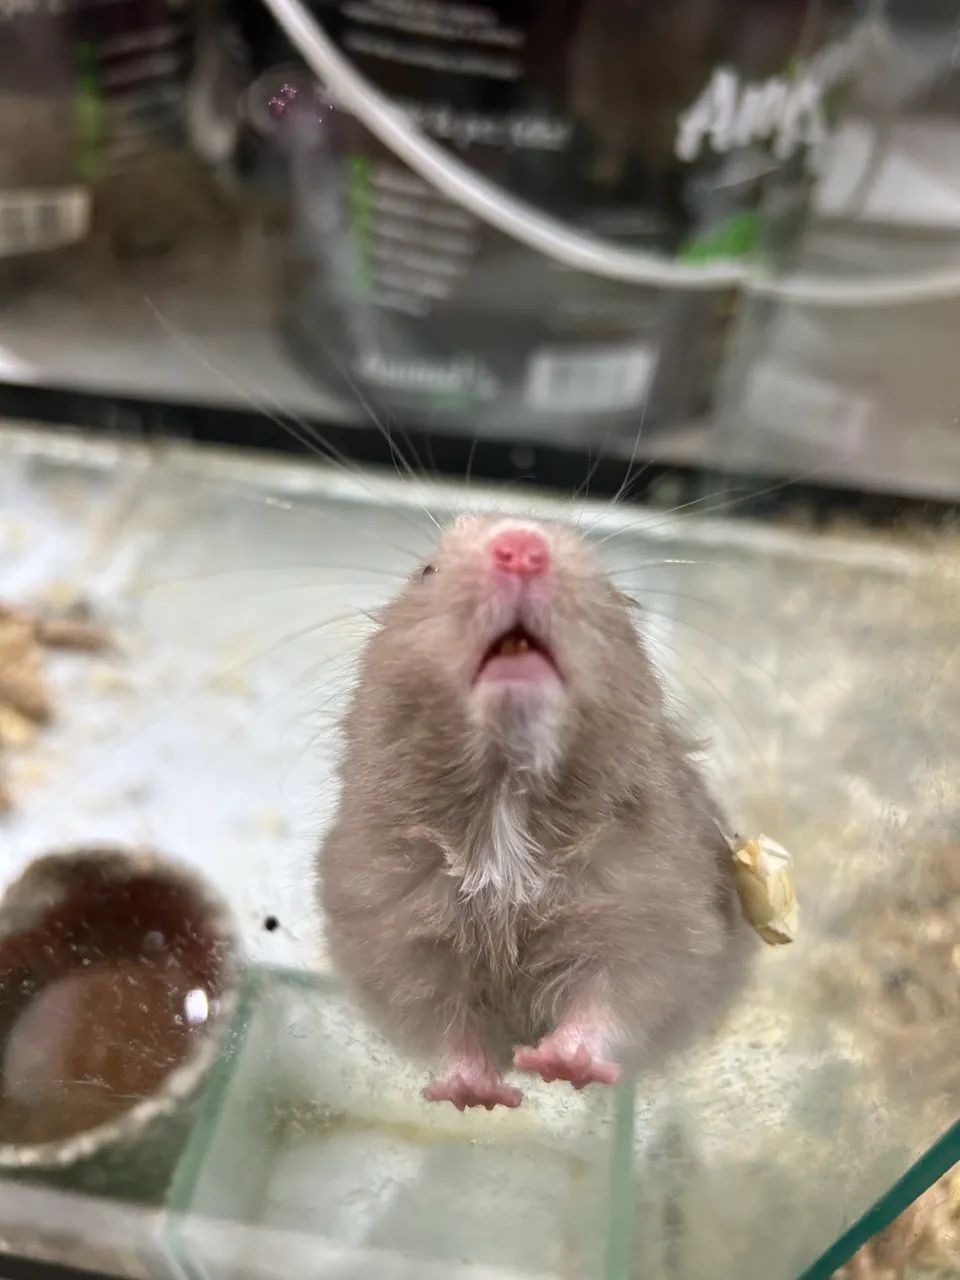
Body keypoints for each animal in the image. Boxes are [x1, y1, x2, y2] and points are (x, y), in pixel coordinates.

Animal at [318, 514, 752, 1110]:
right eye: (427, 571)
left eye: (616, 594)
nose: (521, 545)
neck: (506, 804)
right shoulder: (393, 940)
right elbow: (443, 1023)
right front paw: (480, 1097)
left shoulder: (658, 920)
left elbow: (611, 999)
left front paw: (553, 1065)